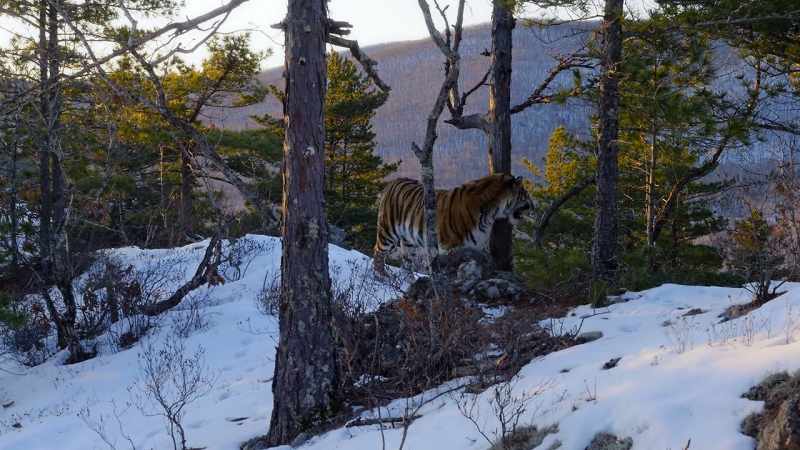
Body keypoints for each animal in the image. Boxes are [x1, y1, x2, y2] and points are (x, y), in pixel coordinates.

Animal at [373, 173, 533, 274]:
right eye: (525, 194)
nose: (533, 206)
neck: (489, 215)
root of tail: (392, 182)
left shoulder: (479, 247)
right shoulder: (449, 246)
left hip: (409, 243)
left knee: (407, 263)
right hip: (388, 232)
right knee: (378, 253)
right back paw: (382, 277)